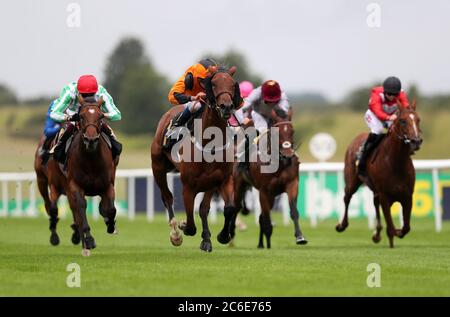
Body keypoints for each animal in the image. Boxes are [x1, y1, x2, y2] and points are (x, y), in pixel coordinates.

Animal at [65, 95, 118, 254]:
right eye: (81, 116)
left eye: (100, 116)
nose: (91, 139)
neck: (91, 160)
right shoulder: (75, 186)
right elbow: (81, 207)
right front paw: (88, 240)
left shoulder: (108, 185)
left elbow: (110, 209)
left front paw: (110, 225)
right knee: (76, 211)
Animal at [151, 65, 241, 252]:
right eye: (213, 84)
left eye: (232, 84)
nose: (226, 107)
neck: (209, 143)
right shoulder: (188, 186)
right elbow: (191, 224)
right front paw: (183, 226)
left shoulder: (221, 180)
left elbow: (224, 208)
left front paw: (220, 236)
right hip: (158, 168)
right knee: (167, 197)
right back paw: (175, 233)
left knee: (203, 208)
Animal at [232, 113, 306, 247]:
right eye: (277, 132)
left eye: (292, 131)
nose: (288, 154)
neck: (279, 163)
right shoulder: (264, 191)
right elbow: (266, 219)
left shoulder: (292, 184)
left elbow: (293, 211)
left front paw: (300, 237)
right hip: (239, 185)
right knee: (236, 207)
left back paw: (261, 244)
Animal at [336, 102, 424, 247]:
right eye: (403, 121)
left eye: (418, 119)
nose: (416, 141)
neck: (396, 163)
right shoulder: (385, 196)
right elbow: (391, 227)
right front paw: (392, 237)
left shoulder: (407, 196)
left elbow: (406, 227)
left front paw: (397, 231)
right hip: (352, 181)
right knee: (347, 197)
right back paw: (342, 225)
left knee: (374, 202)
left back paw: (377, 233)